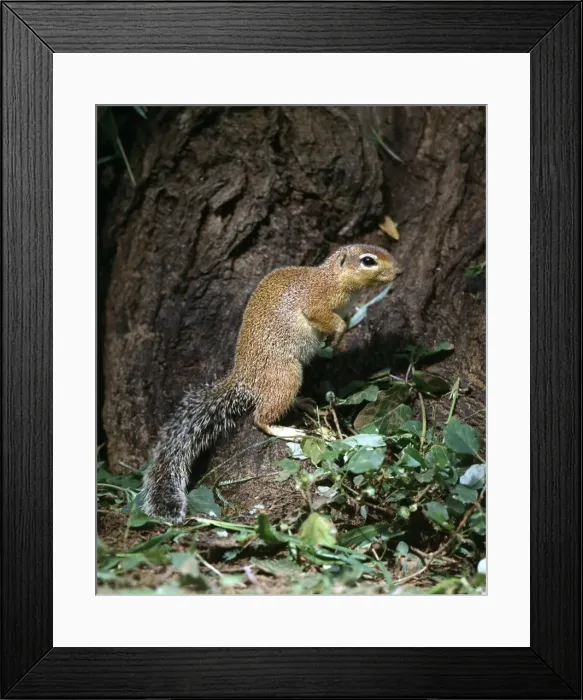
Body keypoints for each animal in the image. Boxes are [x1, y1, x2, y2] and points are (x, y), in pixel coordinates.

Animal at [141, 244, 401, 523]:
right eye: (368, 261)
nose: (399, 271)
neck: (331, 277)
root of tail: (245, 379)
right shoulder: (317, 301)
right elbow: (326, 318)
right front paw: (339, 334)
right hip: (286, 375)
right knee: (260, 419)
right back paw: (286, 430)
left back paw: (303, 403)